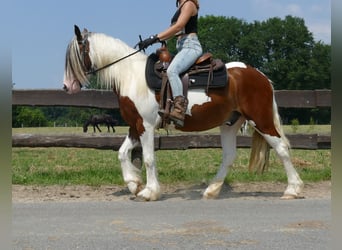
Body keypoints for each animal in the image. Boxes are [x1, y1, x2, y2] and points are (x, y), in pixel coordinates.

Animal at [62, 25, 304, 201]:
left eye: (75, 55)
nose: (67, 87)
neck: (131, 76)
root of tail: (260, 76)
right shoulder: (135, 126)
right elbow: (122, 153)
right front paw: (133, 183)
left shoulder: (146, 126)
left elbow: (148, 158)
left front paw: (149, 191)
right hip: (229, 124)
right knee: (229, 156)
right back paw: (211, 190)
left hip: (261, 120)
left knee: (282, 148)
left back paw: (293, 189)